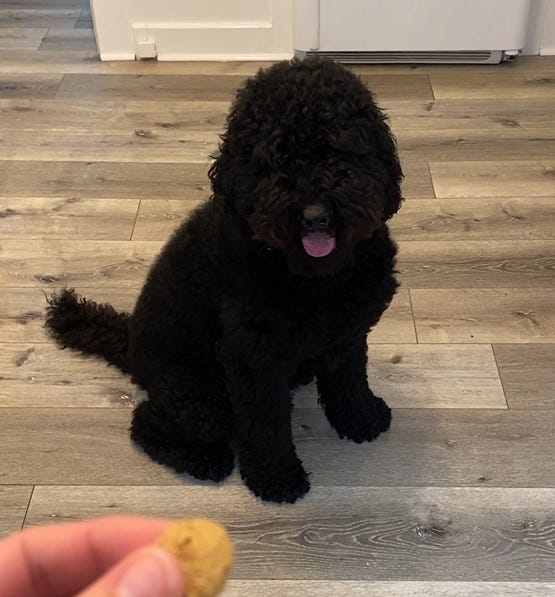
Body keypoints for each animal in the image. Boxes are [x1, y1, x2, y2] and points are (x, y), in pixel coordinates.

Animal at [46, 57, 404, 502]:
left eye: (340, 150)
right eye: (274, 160)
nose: (315, 216)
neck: (314, 277)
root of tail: (129, 344)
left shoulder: (347, 334)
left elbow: (350, 381)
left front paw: (361, 418)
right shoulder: (252, 360)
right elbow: (265, 425)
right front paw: (276, 477)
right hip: (200, 396)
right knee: (146, 422)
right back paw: (205, 460)